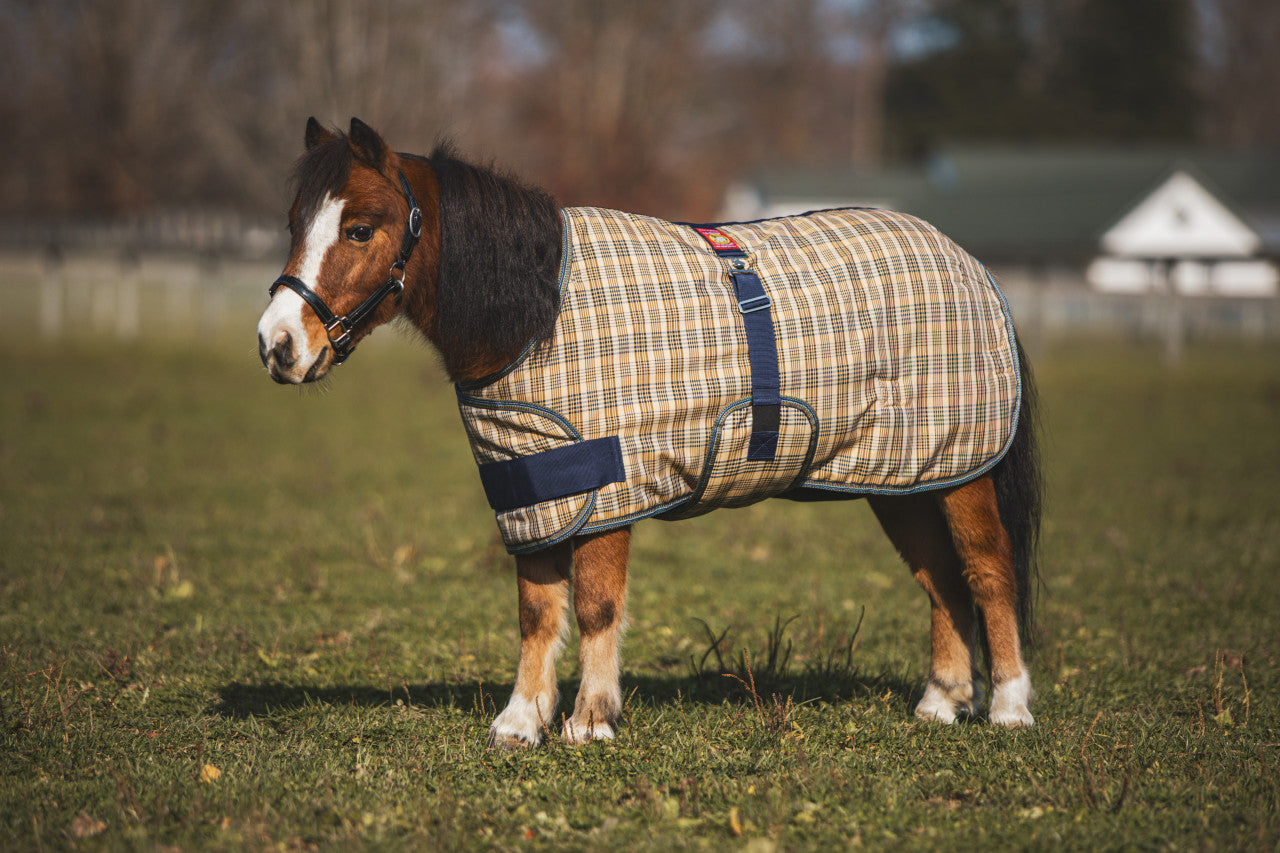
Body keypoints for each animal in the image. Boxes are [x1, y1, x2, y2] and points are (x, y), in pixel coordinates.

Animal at [257, 117, 1042, 747]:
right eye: (294, 222)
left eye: (360, 228)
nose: (276, 345)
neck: (536, 314)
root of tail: (971, 265)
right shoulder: (537, 489)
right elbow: (537, 611)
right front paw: (521, 720)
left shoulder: (606, 487)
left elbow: (596, 605)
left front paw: (590, 719)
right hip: (903, 478)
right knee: (941, 580)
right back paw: (941, 701)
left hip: (963, 471)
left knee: (988, 572)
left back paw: (1009, 707)